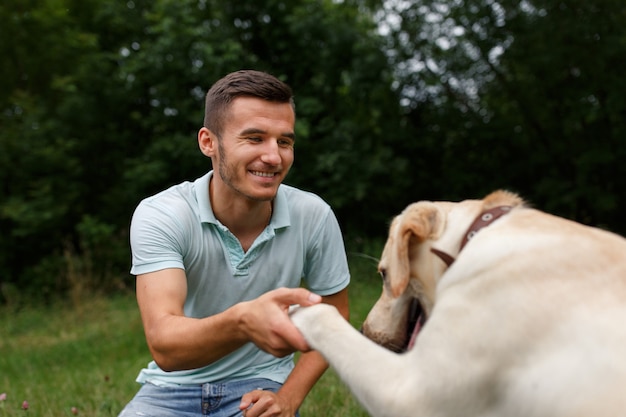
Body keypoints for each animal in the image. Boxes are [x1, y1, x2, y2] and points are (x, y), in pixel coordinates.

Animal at [290, 191, 624, 416]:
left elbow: (324, 316)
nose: (365, 331)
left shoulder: (407, 391)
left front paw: (296, 308)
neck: (470, 241)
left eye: (384, 274)